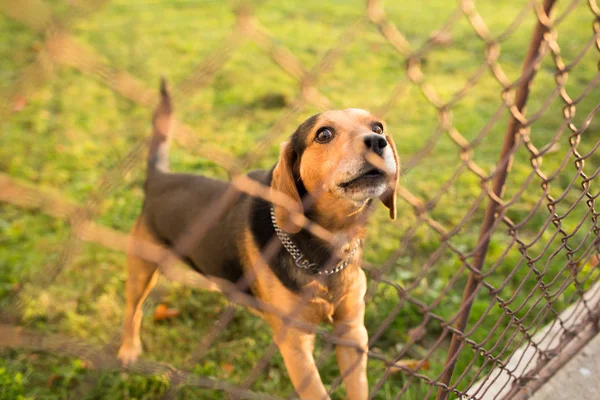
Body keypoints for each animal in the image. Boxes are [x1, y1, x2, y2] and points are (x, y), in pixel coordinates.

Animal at [116, 79, 398, 400]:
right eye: (324, 134)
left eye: (378, 127)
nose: (377, 142)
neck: (327, 246)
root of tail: (158, 178)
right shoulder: (295, 344)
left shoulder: (352, 331)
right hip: (141, 268)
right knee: (133, 310)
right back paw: (128, 350)